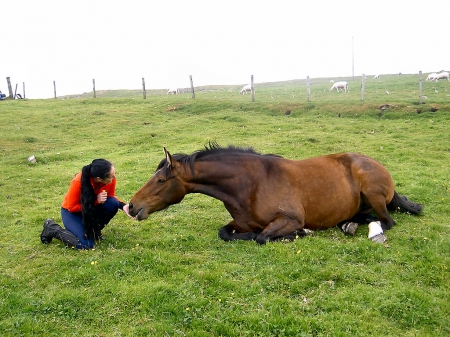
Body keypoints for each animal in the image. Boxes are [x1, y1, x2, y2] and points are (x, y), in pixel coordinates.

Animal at [128, 144, 424, 244]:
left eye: (161, 180)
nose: (131, 206)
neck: (251, 184)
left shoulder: (290, 219)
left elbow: (262, 236)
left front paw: (298, 234)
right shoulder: (239, 222)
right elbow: (226, 233)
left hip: (374, 195)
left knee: (385, 221)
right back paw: (347, 224)